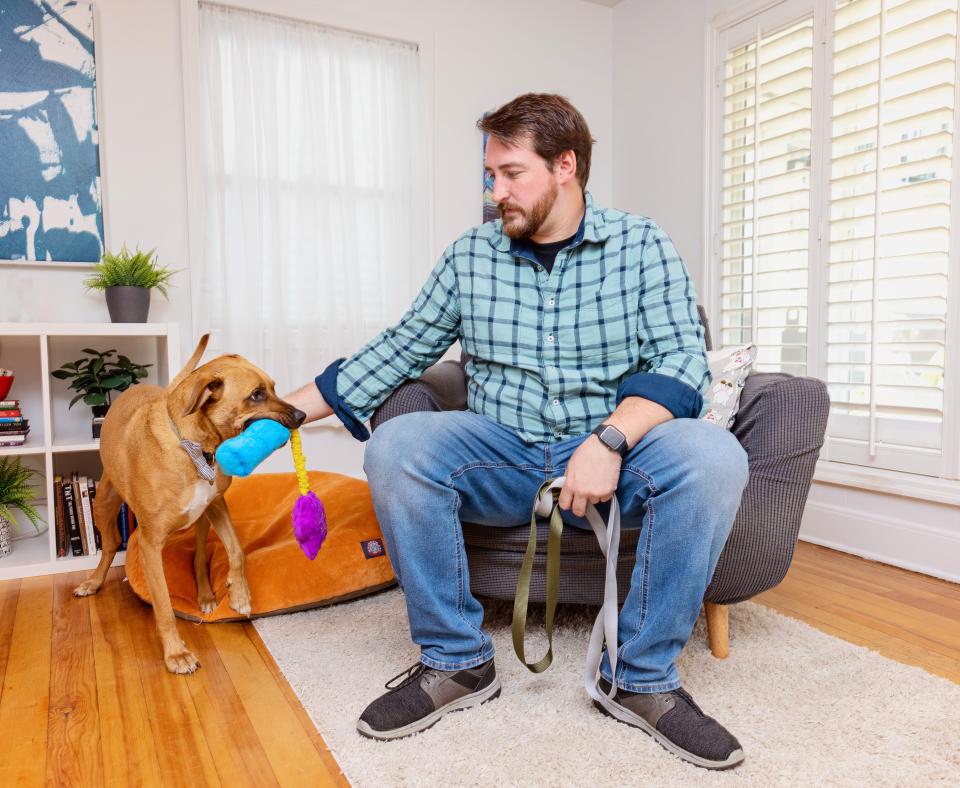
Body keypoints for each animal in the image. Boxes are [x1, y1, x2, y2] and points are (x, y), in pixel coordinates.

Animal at [72, 336, 302, 676]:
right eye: (256, 395)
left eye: (273, 387)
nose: (301, 416)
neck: (194, 447)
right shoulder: (150, 545)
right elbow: (164, 607)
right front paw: (176, 654)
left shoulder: (217, 504)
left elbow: (236, 550)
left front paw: (240, 593)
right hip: (103, 504)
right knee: (111, 544)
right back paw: (94, 581)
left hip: (204, 516)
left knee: (199, 555)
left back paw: (205, 595)